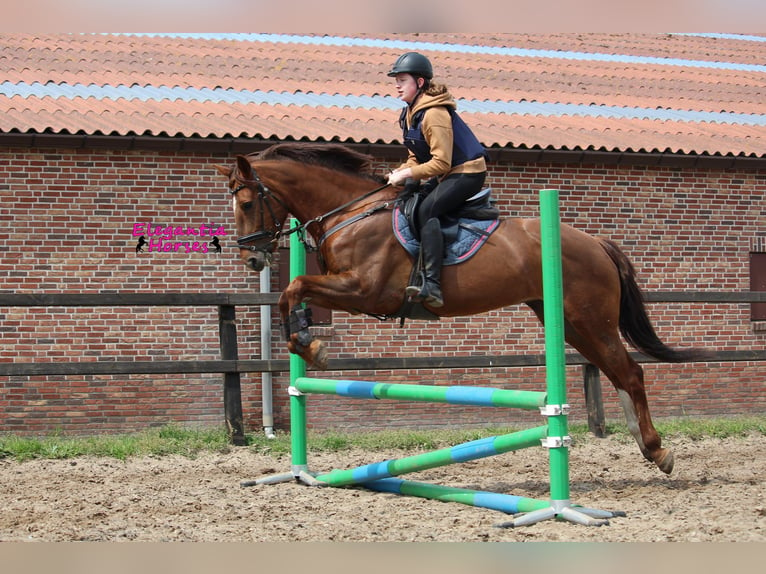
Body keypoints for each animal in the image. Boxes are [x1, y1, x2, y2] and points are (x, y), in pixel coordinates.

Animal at [214, 144, 708, 476]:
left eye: (246, 202)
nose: (252, 260)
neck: (351, 213)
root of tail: (596, 242)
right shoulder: (349, 290)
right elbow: (293, 292)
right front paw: (305, 338)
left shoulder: (365, 292)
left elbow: (294, 287)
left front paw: (311, 346)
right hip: (570, 322)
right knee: (616, 370)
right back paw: (645, 445)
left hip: (588, 317)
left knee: (630, 372)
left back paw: (657, 449)